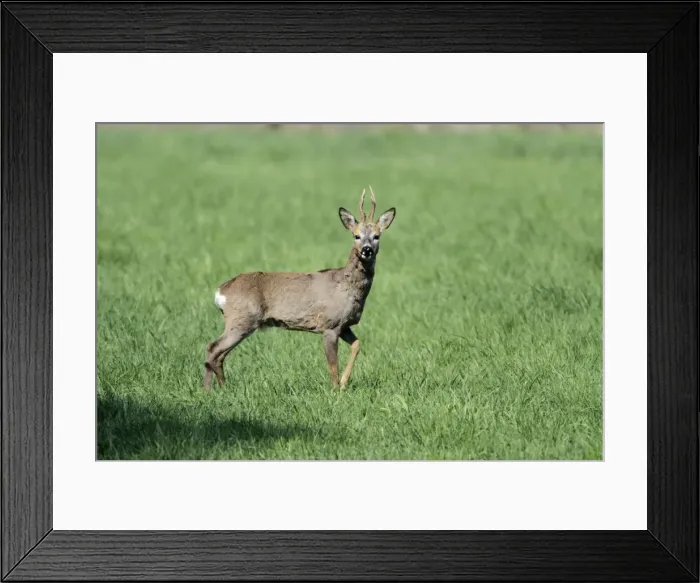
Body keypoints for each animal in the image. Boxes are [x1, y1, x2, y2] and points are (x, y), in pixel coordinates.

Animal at [203, 186, 396, 391]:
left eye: (377, 236)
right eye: (356, 236)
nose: (366, 250)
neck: (346, 286)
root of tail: (220, 292)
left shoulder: (344, 325)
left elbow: (357, 345)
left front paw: (344, 384)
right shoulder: (329, 324)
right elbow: (333, 364)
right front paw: (335, 390)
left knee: (218, 354)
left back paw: (219, 387)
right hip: (242, 319)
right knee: (213, 348)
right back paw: (208, 390)